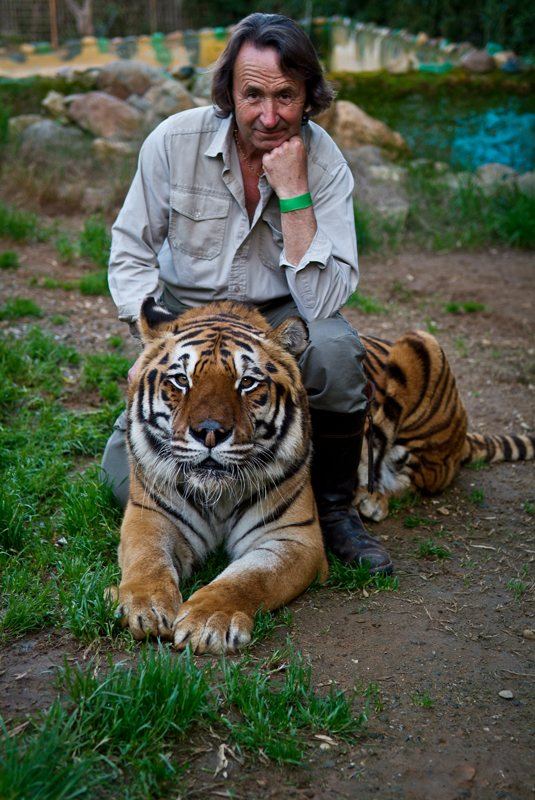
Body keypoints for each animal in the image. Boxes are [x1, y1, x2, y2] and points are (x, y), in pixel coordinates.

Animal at [113, 298, 328, 654]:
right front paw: (145, 606)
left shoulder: (293, 538)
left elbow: (249, 579)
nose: (210, 432)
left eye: (247, 383)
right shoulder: (150, 515)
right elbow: (147, 558)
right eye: (181, 380)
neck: (219, 495)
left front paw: (209, 620)